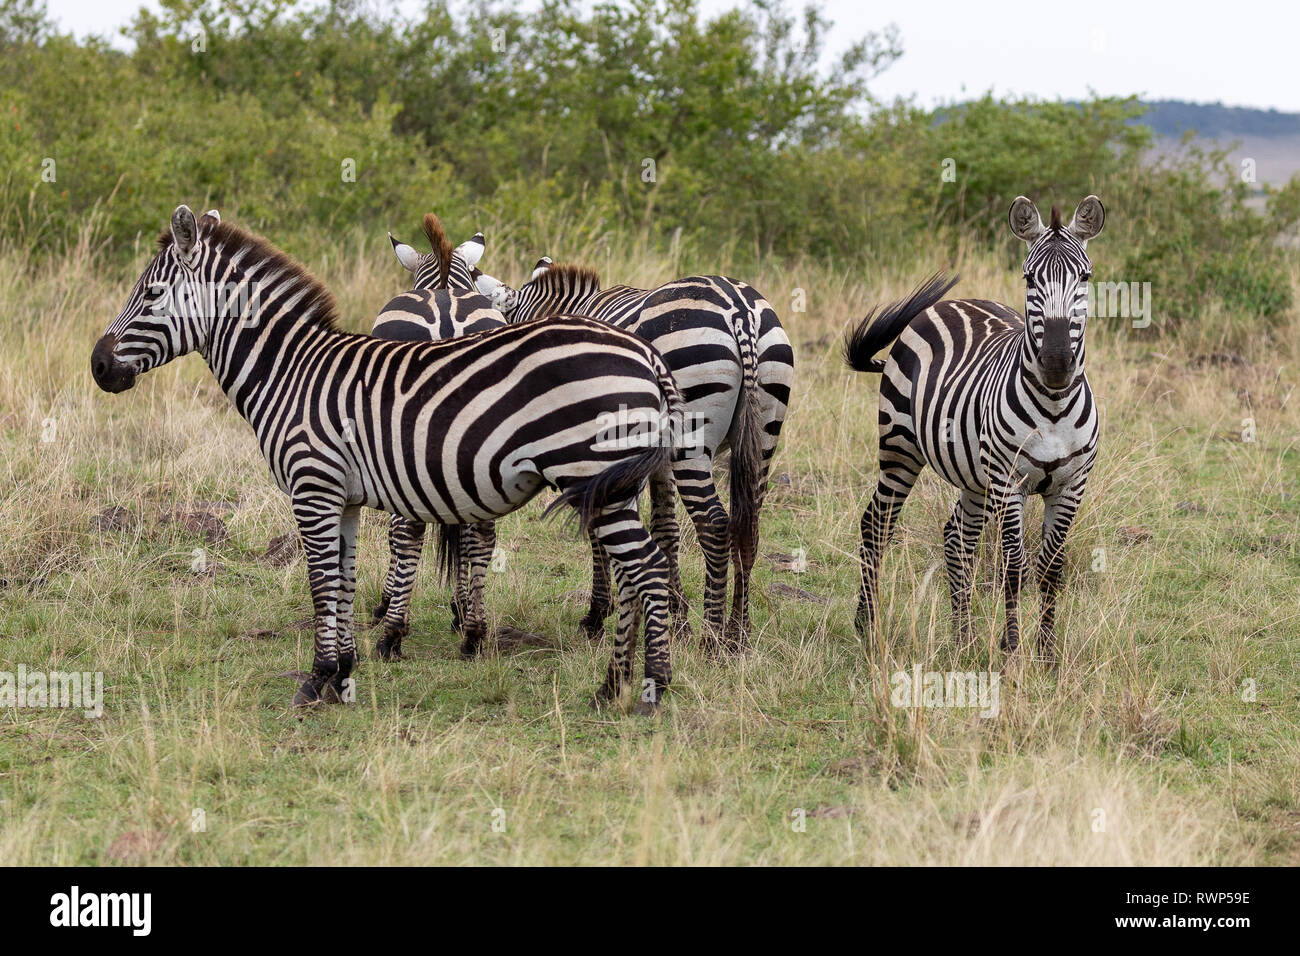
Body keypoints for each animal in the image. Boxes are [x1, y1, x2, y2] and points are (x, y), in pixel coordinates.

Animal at [91, 204, 688, 712]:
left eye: (151, 293)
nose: (97, 366)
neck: (289, 372)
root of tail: (646, 353)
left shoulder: (313, 488)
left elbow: (321, 583)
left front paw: (315, 679)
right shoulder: (344, 498)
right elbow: (344, 578)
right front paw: (342, 674)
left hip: (595, 477)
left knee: (648, 567)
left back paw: (652, 687)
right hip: (614, 486)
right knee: (632, 573)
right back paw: (611, 685)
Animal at [475, 261, 794, 651]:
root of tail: (740, 310)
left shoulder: (598, 455)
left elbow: (601, 529)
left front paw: (598, 616)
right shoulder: (654, 461)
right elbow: (666, 530)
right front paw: (676, 621)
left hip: (693, 432)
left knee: (715, 525)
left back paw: (712, 638)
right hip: (764, 431)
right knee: (750, 525)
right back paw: (739, 633)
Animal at [842, 195, 1105, 661]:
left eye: (1085, 276)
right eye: (1029, 278)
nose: (1057, 362)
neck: (1054, 406)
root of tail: (954, 302)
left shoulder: (1071, 486)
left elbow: (1052, 567)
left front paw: (1047, 654)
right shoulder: (1009, 482)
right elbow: (1014, 566)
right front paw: (1012, 649)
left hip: (974, 476)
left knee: (956, 538)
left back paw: (963, 636)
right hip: (900, 448)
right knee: (877, 524)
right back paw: (867, 626)